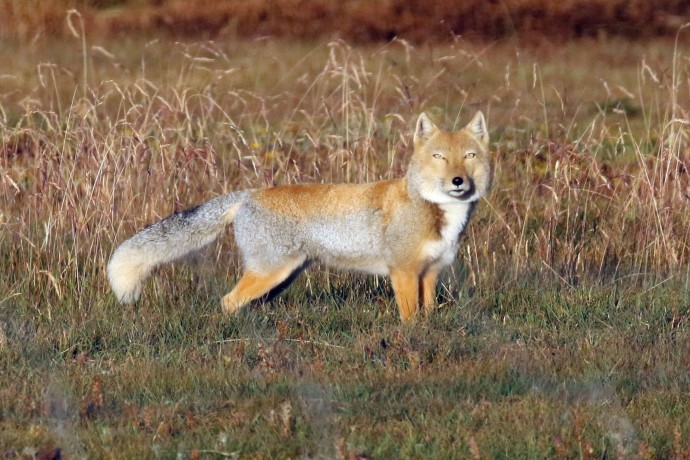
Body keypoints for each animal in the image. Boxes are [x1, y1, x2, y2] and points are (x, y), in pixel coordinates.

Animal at [106, 111, 490, 320]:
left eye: (469, 156)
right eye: (439, 157)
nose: (458, 181)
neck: (435, 211)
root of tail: (249, 194)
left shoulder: (430, 273)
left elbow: (427, 315)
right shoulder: (404, 272)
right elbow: (410, 319)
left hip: (281, 278)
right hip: (270, 273)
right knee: (228, 302)